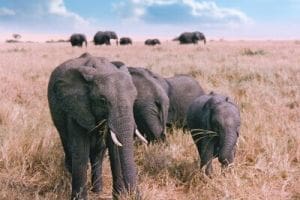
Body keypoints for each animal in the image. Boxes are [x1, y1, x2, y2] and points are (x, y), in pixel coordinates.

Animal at [47, 52, 145, 199]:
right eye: (103, 101)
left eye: (134, 99)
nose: (136, 195)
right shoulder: (75, 106)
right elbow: (80, 150)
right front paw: (79, 198)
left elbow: (115, 148)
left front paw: (118, 196)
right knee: (68, 147)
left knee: (98, 153)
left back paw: (97, 191)